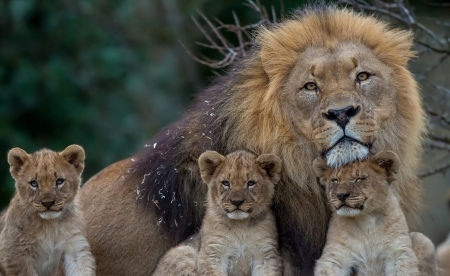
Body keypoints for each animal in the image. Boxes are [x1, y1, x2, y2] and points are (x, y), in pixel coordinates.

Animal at [0, 146, 96, 274]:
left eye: (59, 181)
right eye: (34, 183)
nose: (47, 203)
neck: (50, 225)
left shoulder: (74, 247)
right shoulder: (15, 254)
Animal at [154, 151, 282, 276]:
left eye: (251, 183)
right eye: (226, 183)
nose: (236, 202)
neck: (241, 225)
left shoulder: (265, 256)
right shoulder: (212, 254)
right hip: (183, 252)